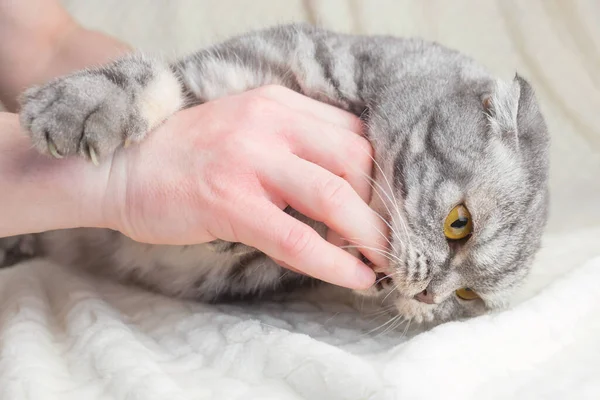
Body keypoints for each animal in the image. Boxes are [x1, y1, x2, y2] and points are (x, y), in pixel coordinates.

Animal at [7, 23, 548, 324]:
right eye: (459, 224)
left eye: (467, 296)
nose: (432, 294)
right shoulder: (220, 72)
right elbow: (149, 76)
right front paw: (78, 106)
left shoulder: (230, 275)